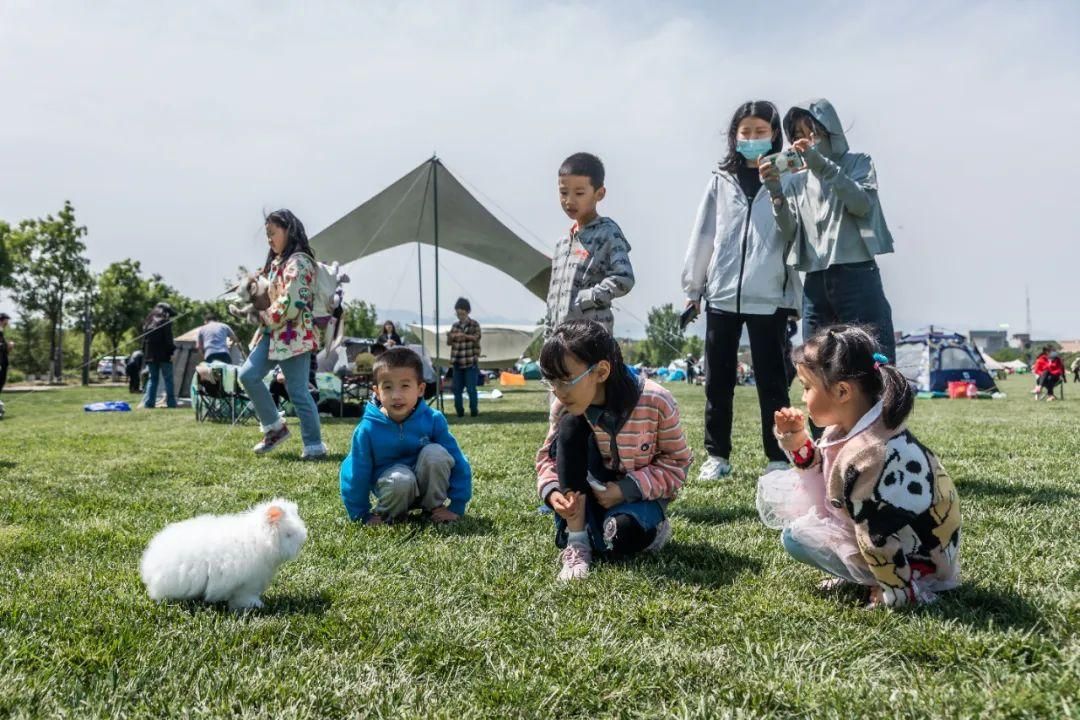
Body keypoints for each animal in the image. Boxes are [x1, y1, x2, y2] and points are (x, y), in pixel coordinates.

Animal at [141, 498, 306, 613]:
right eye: (289, 534)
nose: (302, 542)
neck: (260, 539)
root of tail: (148, 565)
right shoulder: (247, 585)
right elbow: (246, 597)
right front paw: (257, 606)